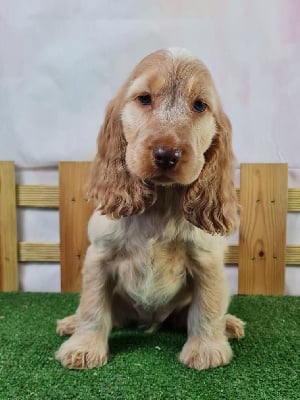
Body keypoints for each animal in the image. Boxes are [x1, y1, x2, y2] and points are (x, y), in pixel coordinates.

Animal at [55, 48, 244, 370]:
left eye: (199, 105)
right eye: (144, 98)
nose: (167, 155)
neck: (161, 204)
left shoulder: (207, 260)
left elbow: (207, 308)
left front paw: (206, 349)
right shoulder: (100, 256)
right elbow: (92, 306)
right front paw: (83, 348)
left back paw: (228, 324)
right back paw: (71, 323)